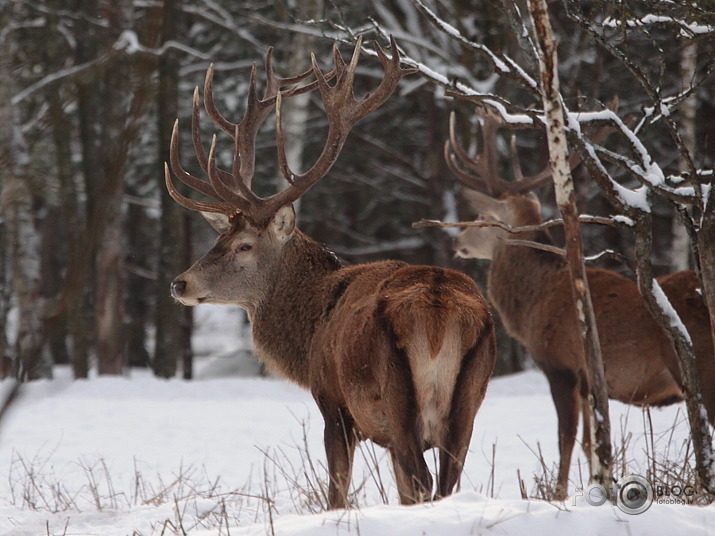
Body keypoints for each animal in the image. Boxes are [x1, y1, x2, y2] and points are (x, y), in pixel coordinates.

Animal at [164, 39, 496, 508]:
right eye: (219, 237)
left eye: (244, 245)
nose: (180, 283)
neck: (311, 331)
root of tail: (438, 311)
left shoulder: (332, 401)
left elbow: (336, 491)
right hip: (469, 399)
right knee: (445, 482)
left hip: (396, 396)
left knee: (423, 480)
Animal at [444, 109, 712, 498]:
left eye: (481, 218)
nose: (457, 241)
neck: (533, 303)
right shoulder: (588, 379)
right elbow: (592, 443)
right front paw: (599, 486)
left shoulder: (560, 364)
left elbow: (565, 438)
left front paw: (558, 494)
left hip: (698, 362)